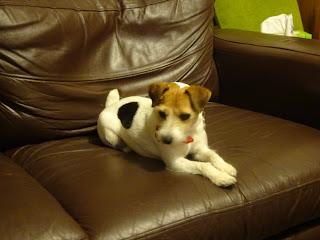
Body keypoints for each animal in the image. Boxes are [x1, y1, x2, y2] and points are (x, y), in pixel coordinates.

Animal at [98, 81, 238, 187]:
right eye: (161, 113)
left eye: (185, 116)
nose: (165, 140)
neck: (188, 133)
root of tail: (111, 105)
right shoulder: (175, 162)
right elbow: (202, 165)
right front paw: (220, 177)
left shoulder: (200, 150)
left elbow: (213, 156)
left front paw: (226, 167)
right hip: (109, 133)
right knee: (116, 143)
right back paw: (126, 147)